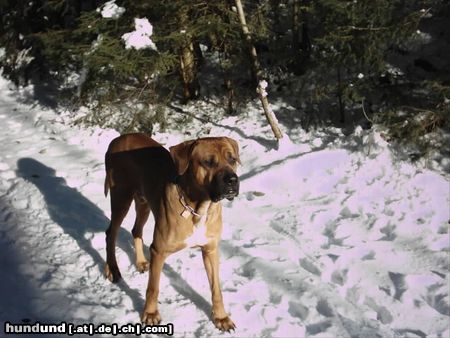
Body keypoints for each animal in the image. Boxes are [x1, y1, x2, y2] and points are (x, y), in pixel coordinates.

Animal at [104, 133, 241, 332]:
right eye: (208, 162)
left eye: (232, 159)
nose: (232, 180)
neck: (198, 207)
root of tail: (117, 139)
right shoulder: (159, 251)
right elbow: (153, 287)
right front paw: (150, 314)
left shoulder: (210, 250)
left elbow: (216, 288)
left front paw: (221, 317)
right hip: (121, 196)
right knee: (111, 233)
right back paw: (112, 269)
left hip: (143, 202)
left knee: (136, 230)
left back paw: (141, 262)